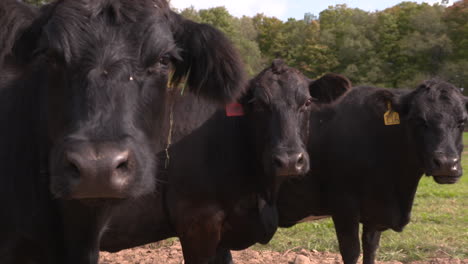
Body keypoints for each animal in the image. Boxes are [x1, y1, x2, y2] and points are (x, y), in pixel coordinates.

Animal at [278, 80, 464, 264]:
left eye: (462, 121)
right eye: (419, 120)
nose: (447, 163)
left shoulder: (375, 213)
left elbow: (371, 249)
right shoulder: (344, 205)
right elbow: (351, 251)